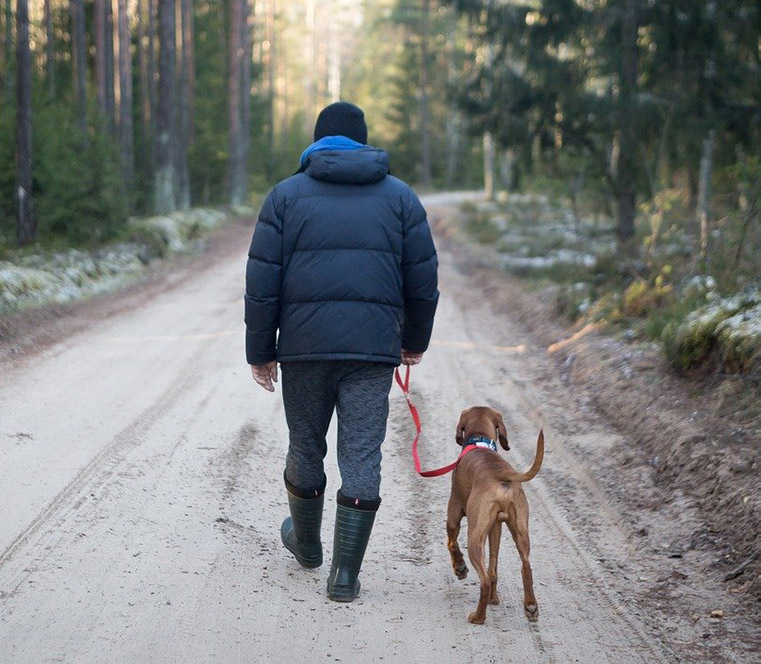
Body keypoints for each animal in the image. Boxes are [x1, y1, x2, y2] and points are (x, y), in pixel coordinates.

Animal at [446, 408, 548, 624]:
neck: (480, 440)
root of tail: (503, 474)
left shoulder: (454, 512)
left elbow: (451, 542)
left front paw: (460, 567)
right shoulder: (496, 527)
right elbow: (494, 567)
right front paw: (495, 600)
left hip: (475, 537)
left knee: (484, 579)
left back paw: (478, 617)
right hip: (520, 531)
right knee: (524, 566)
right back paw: (530, 607)